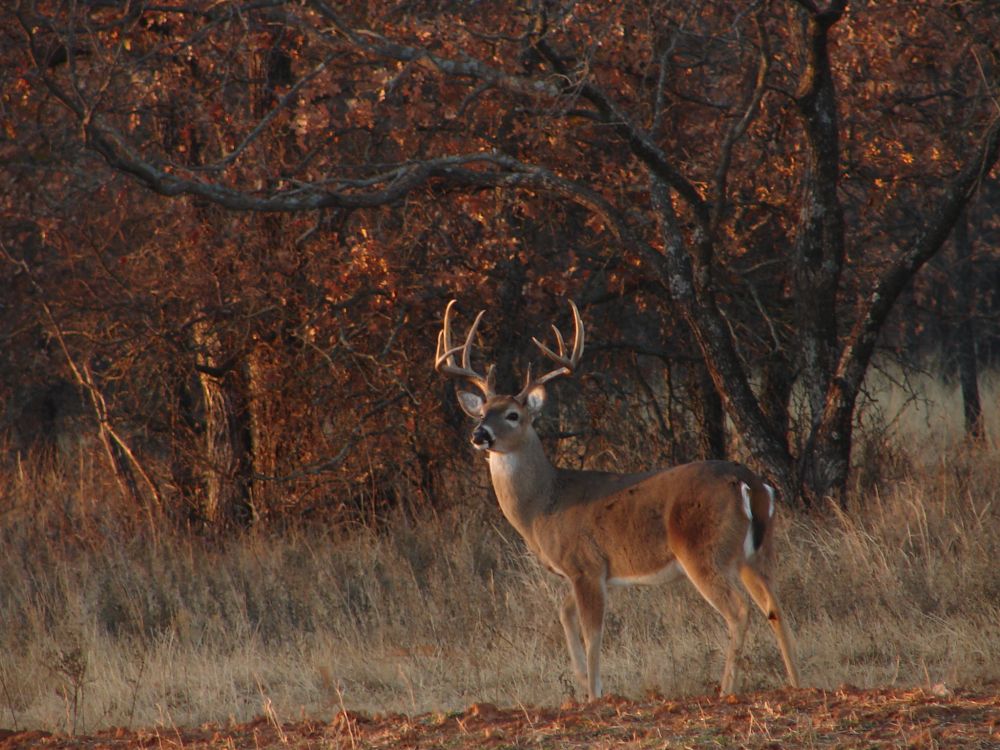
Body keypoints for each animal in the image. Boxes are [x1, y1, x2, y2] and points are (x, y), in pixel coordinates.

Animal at [434, 299, 800, 701]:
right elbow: (564, 615)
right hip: (757, 553)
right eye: (483, 411)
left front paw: (595, 695)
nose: (479, 434)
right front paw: (582, 685)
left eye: (513, 415)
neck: (544, 505)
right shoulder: (591, 573)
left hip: (704, 552)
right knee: (775, 607)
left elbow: (592, 635)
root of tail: (751, 483)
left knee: (739, 611)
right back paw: (798, 684)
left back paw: (726, 690)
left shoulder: (585, 565)